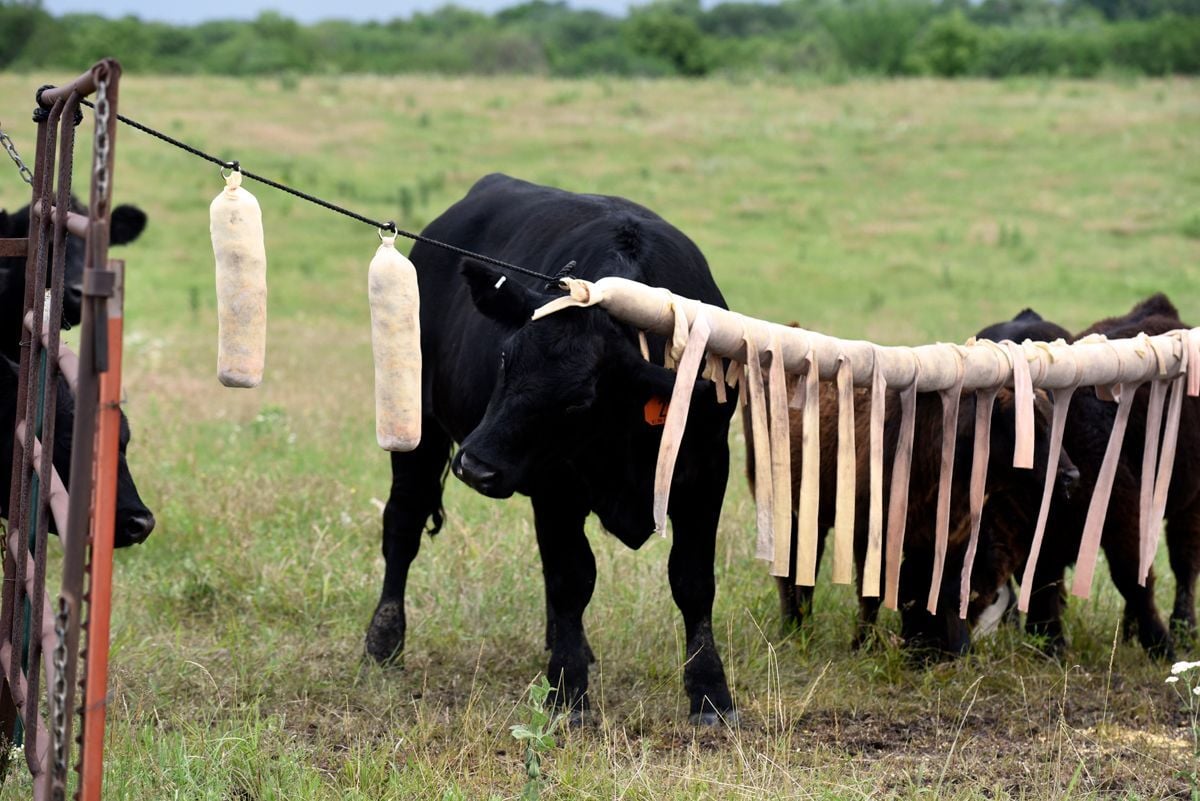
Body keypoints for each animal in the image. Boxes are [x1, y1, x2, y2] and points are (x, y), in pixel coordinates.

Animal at [365, 174, 737, 723]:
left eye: (580, 399)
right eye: (504, 356)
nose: (475, 466)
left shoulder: (707, 471)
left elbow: (692, 581)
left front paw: (710, 694)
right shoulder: (556, 484)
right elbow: (572, 578)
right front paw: (567, 690)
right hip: (419, 426)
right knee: (403, 522)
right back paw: (384, 640)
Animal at [749, 378, 1079, 657]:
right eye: (1028, 429)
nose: (1071, 476)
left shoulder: (950, 538)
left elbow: (945, 590)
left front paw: (953, 649)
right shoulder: (868, 535)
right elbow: (872, 595)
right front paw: (863, 645)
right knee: (791, 572)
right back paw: (793, 628)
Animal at [974, 295, 1198, 657]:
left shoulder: (1124, 519)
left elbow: (1134, 580)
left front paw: (1160, 645)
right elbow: (1043, 584)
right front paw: (1049, 641)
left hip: (1189, 503)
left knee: (1185, 563)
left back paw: (1184, 629)